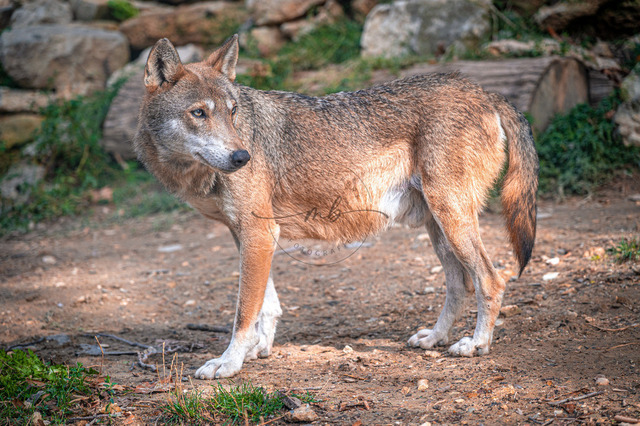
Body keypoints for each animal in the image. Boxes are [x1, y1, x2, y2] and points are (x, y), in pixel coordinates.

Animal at [134, 35, 538, 379]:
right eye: (198, 113)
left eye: (232, 112)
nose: (242, 157)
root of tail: (485, 91)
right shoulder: (249, 236)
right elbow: (266, 305)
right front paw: (257, 350)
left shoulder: (258, 233)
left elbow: (243, 312)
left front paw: (229, 363)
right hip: (438, 227)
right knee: (458, 284)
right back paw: (436, 338)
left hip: (451, 220)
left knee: (490, 279)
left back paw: (477, 344)